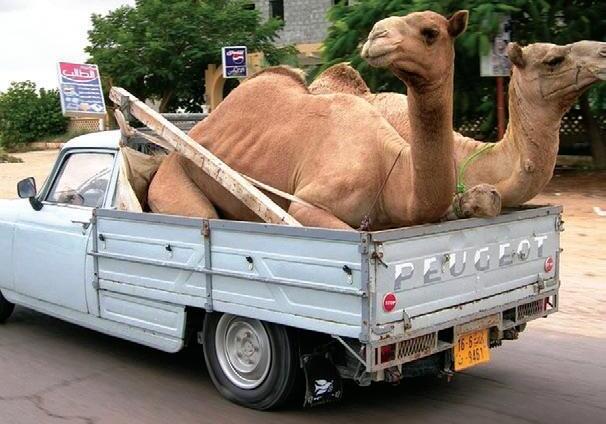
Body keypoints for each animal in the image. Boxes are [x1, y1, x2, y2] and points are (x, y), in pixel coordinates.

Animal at [147, 11, 470, 230]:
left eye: (430, 32)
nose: (377, 34)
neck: (391, 173)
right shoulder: (307, 205)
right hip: (172, 179)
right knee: (201, 214)